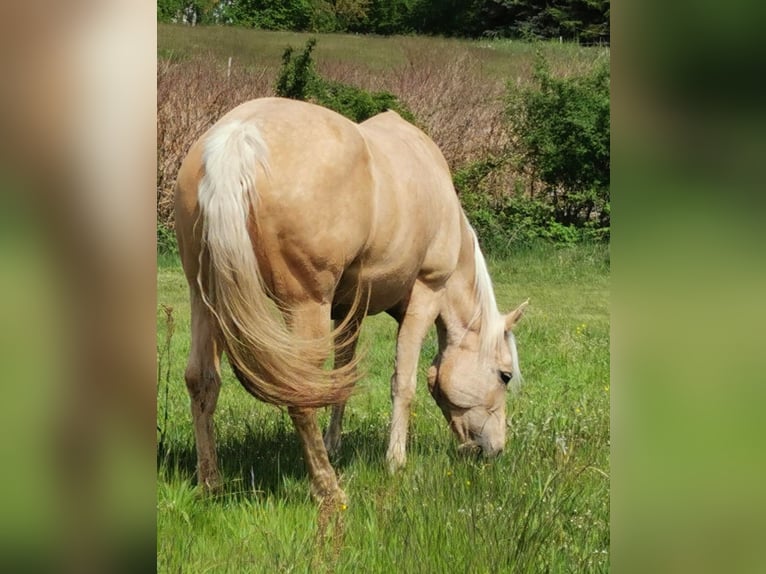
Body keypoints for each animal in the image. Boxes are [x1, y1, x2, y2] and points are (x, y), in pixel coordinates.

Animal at [174, 97, 527, 505]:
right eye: (504, 375)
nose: (494, 449)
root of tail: (238, 136)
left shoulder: (348, 309)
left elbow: (342, 375)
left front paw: (335, 444)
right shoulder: (426, 293)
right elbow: (403, 382)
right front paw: (395, 461)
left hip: (205, 297)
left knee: (201, 379)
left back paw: (211, 483)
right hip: (303, 306)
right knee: (299, 392)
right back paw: (328, 489)